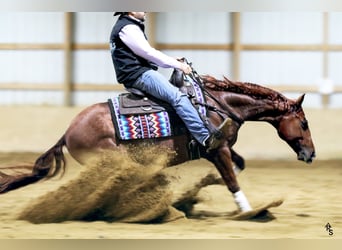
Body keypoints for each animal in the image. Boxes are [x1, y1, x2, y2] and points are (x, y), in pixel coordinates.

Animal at [0, 72, 316, 213]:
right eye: (303, 123)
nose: (310, 154)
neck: (218, 105)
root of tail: (68, 132)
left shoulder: (221, 148)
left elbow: (237, 167)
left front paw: (201, 187)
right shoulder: (217, 149)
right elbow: (232, 180)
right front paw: (249, 212)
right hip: (112, 161)